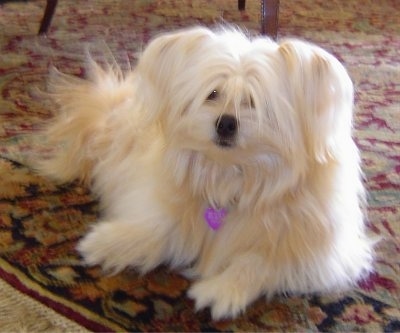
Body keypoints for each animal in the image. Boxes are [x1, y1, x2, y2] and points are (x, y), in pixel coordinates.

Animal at [39, 26, 374, 320]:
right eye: (213, 93)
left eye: (253, 102)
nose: (226, 123)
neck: (234, 177)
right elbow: (158, 226)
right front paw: (109, 242)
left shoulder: (319, 255)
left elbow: (258, 261)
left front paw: (223, 289)